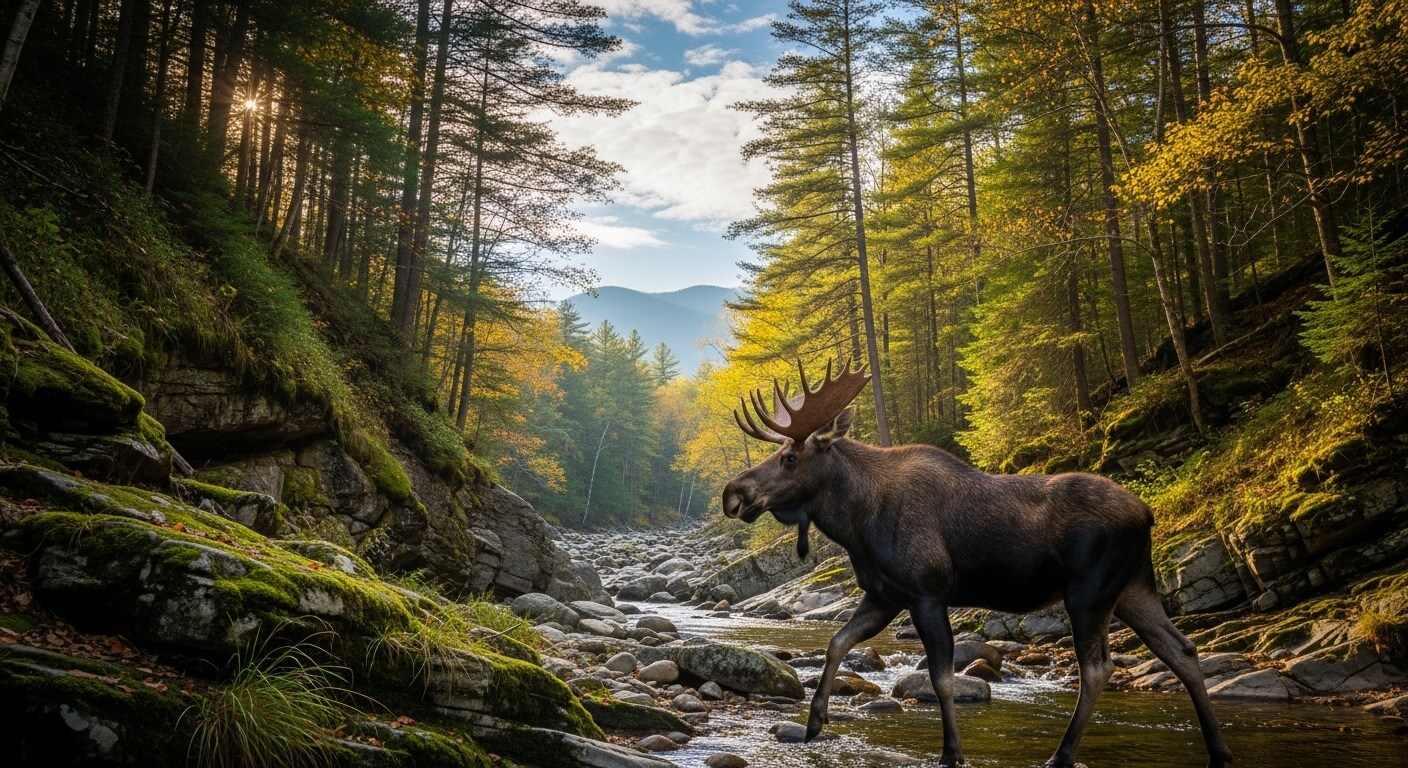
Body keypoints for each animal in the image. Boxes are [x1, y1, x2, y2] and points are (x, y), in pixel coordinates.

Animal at [720, 359, 1232, 768]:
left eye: (789, 457)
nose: (733, 494)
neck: (856, 521)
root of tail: (1147, 513)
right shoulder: (884, 596)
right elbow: (836, 643)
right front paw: (814, 721)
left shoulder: (927, 592)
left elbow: (942, 678)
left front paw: (951, 752)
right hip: (1132, 588)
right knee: (1182, 649)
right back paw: (1218, 750)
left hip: (1089, 593)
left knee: (1097, 668)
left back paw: (1062, 754)